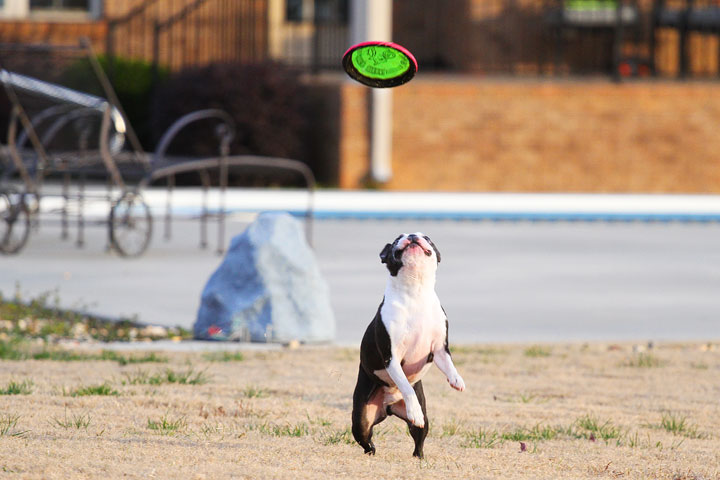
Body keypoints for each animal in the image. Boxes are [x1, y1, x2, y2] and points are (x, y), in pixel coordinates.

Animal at [352, 232, 464, 458]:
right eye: (397, 240)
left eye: (427, 238)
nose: (412, 236)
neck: (415, 291)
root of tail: (388, 406)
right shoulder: (391, 357)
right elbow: (405, 385)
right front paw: (414, 410)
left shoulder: (439, 348)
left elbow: (449, 363)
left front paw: (456, 379)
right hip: (361, 418)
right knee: (366, 438)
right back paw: (374, 449)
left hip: (424, 422)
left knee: (419, 439)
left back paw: (419, 458)